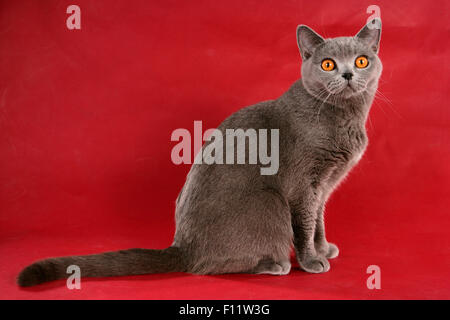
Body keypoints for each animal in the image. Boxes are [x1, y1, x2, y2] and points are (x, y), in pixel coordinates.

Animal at [18, 18, 384, 286]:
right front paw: (311, 261)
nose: (347, 73)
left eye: (361, 60)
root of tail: (183, 248)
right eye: (327, 64)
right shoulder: (302, 187)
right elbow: (304, 226)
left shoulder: (322, 187)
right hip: (270, 202)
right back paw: (273, 264)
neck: (343, 116)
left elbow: (317, 221)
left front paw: (324, 249)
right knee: (211, 266)